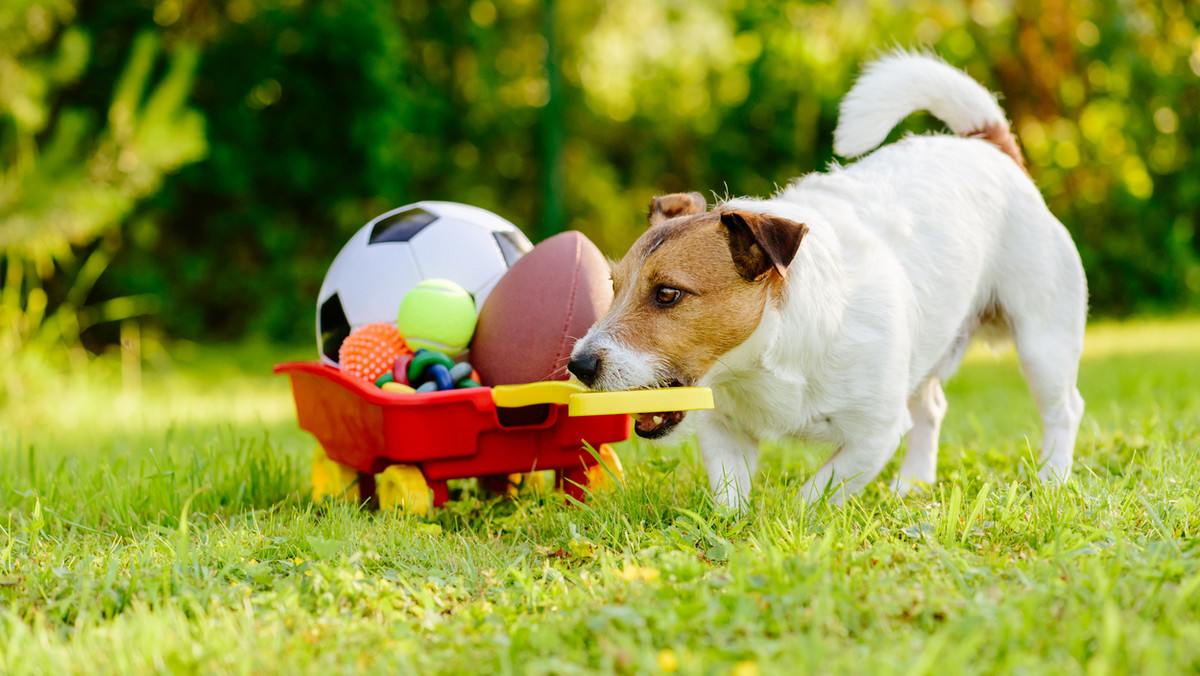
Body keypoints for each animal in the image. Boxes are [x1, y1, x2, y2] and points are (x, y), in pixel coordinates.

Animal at [564, 51, 1089, 509]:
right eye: (613, 288)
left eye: (668, 294)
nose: (578, 365)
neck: (764, 359)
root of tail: (989, 147)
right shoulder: (724, 428)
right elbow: (730, 493)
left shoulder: (873, 435)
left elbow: (815, 492)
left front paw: (789, 524)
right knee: (931, 408)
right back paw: (912, 484)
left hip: (1042, 342)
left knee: (1064, 409)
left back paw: (1052, 478)